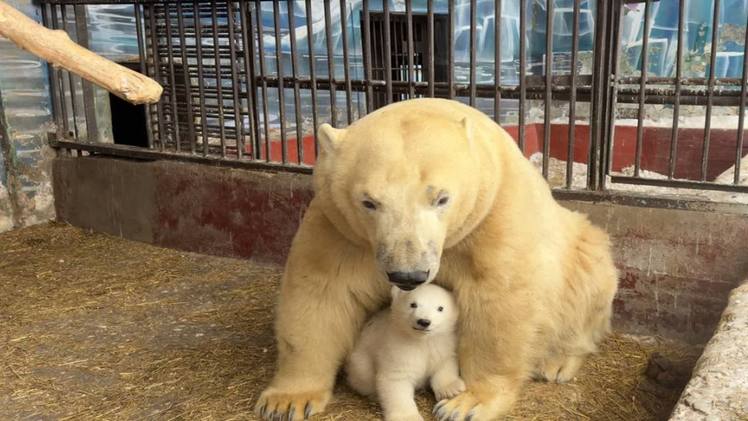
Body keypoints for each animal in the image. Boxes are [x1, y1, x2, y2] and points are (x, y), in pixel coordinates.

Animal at [348, 282, 464, 420]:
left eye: (440, 308)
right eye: (413, 304)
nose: (424, 321)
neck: (421, 340)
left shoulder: (440, 343)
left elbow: (444, 363)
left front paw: (452, 389)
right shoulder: (398, 347)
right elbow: (397, 379)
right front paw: (408, 416)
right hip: (360, 361)